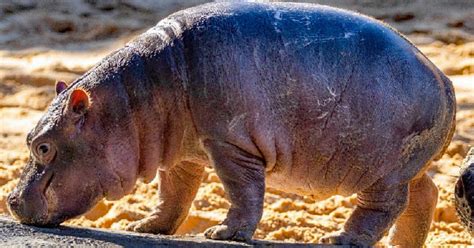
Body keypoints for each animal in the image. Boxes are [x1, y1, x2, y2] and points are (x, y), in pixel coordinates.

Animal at [7, 2, 456, 248]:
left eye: (43, 146)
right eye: (27, 138)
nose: (9, 200)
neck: (131, 98)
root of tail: (445, 80)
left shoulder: (229, 142)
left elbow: (243, 191)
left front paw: (222, 234)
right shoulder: (181, 150)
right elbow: (174, 192)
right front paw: (146, 227)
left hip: (382, 171)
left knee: (384, 206)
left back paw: (341, 240)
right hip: (408, 168)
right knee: (425, 194)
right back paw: (403, 245)